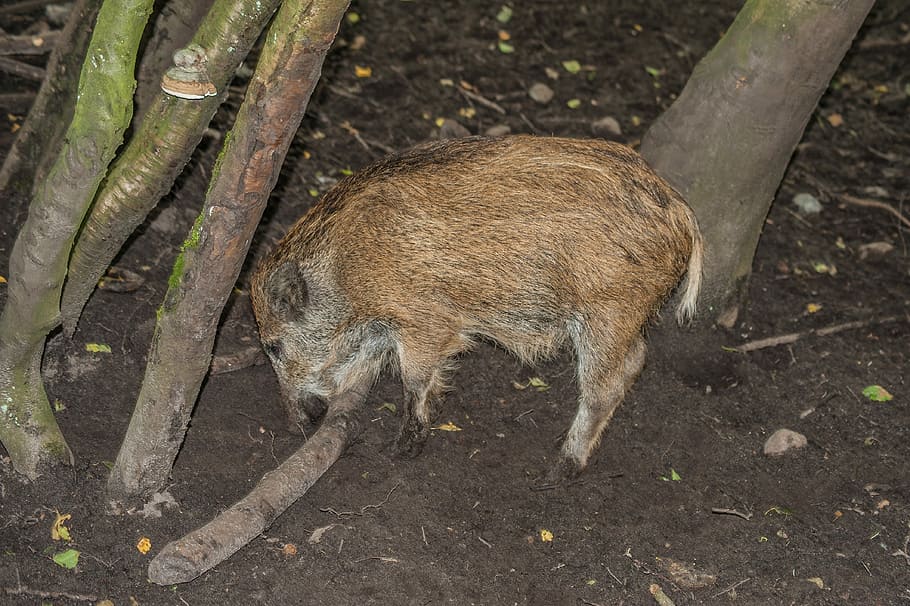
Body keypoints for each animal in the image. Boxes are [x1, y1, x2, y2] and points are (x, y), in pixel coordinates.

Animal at [250, 135, 703, 478]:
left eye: (273, 346)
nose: (296, 426)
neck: (346, 272)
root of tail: (683, 214)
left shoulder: (426, 322)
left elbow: (414, 381)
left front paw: (399, 451)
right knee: (637, 358)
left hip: (608, 311)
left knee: (605, 386)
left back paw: (558, 469)